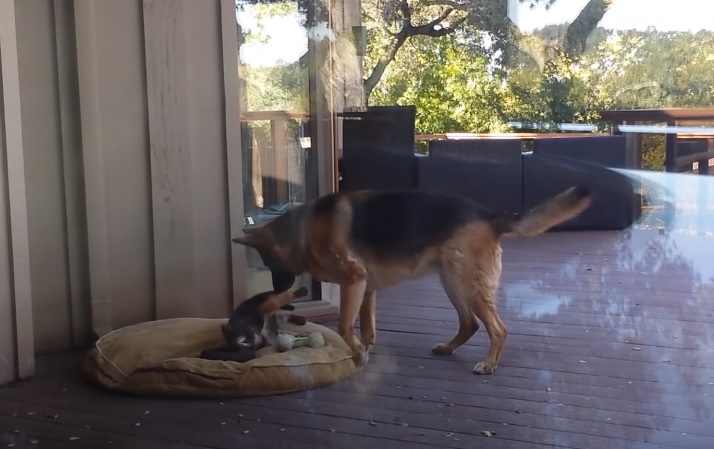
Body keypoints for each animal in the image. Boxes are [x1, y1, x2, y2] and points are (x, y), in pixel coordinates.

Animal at [231, 186, 592, 374]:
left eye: (269, 263)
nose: (277, 294)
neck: (303, 231)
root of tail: (489, 215)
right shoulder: (366, 288)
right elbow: (367, 327)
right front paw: (364, 350)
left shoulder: (354, 281)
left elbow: (346, 325)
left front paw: (357, 352)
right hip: (451, 282)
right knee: (470, 323)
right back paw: (448, 347)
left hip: (467, 285)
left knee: (497, 329)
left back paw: (488, 363)